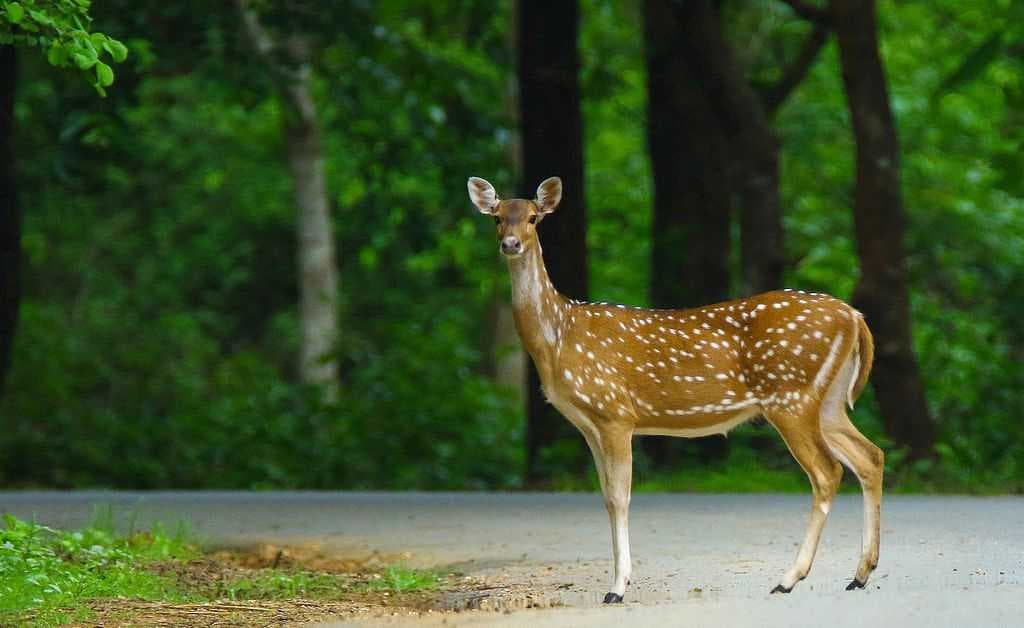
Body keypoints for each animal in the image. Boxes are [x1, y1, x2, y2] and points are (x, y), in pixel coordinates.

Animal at [468, 175, 885, 604]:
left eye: (533, 218)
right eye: (497, 218)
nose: (511, 244)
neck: (557, 338)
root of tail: (855, 316)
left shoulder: (615, 412)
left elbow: (620, 497)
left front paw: (618, 587)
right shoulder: (588, 425)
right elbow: (605, 498)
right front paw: (618, 581)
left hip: (790, 396)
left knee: (828, 472)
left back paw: (789, 578)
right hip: (828, 402)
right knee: (870, 456)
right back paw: (860, 573)